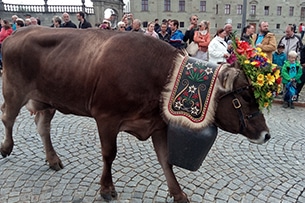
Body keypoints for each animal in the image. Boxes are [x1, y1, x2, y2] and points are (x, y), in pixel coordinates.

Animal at [0, 26, 268, 201]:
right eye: (245, 98)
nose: (266, 134)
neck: (159, 74)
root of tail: (19, 32)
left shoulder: (158, 124)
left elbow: (166, 160)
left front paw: (179, 194)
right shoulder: (106, 117)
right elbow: (109, 154)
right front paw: (107, 189)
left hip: (47, 99)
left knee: (42, 126)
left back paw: (53, 159)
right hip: (14, 89)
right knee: (7, 117)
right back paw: (6, 147)